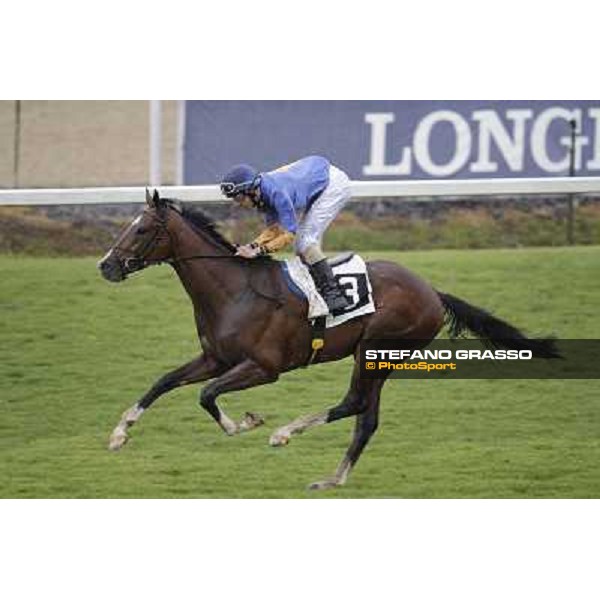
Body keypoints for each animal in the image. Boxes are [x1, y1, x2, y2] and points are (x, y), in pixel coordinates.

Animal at [98, 190, 556, 490]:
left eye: (141, 230)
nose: (106, 266)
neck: (234, 290)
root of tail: (432, 292)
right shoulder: (216, 358)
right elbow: (163, 382)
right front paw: (120, 434)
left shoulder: (263, 368)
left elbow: (206, 395)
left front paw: (246, 423)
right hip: (380, 358)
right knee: (367, 418)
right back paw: (333, 478)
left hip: (374, 350)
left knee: (354, 403)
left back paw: (286, 433)